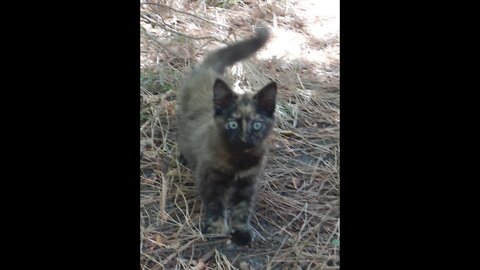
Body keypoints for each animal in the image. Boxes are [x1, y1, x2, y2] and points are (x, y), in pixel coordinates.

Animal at [175, 25, 278, 247]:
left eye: (257, 125)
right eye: (232, 124)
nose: (245, 139)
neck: (239, 159)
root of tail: (208, 70)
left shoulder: (248, 181)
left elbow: (242, 208)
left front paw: (241, 231)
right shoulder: (210, 177)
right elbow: (215, 205)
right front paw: (216, 229)